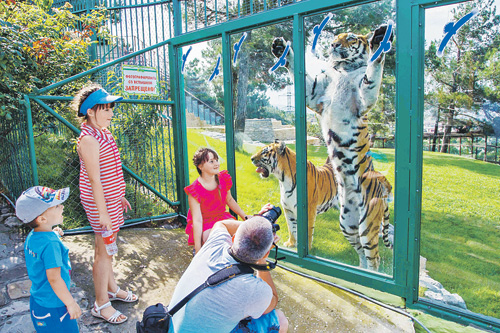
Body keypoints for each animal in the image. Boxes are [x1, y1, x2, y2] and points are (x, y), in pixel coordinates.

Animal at [272, 25, 396, 270]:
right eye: (336, 38)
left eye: (350, 38)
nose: (333, 45)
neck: (343, 70)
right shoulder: (314, 93)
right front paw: (281, 48)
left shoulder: (363, 98)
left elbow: (372, 75)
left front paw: (379, 40)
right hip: (347, 223)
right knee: (360, 250)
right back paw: (360, 269)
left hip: (368, 223)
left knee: (374, 255)